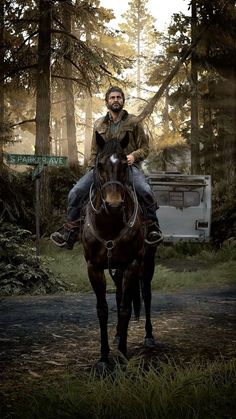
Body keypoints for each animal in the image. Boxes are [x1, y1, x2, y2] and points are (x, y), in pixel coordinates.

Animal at [82, 131, 158, 370]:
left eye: (125, 163)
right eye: (99, 164)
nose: (113, 203)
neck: (110, 222)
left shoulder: (132, 265)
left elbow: (125, 308)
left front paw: (123, 354)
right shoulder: (94, 268)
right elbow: (103, 309)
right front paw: (104, 358)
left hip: (147, 264)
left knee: (146, 295)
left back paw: (148, 336)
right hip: (116, 269)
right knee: (118, 294)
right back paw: (116, 335)